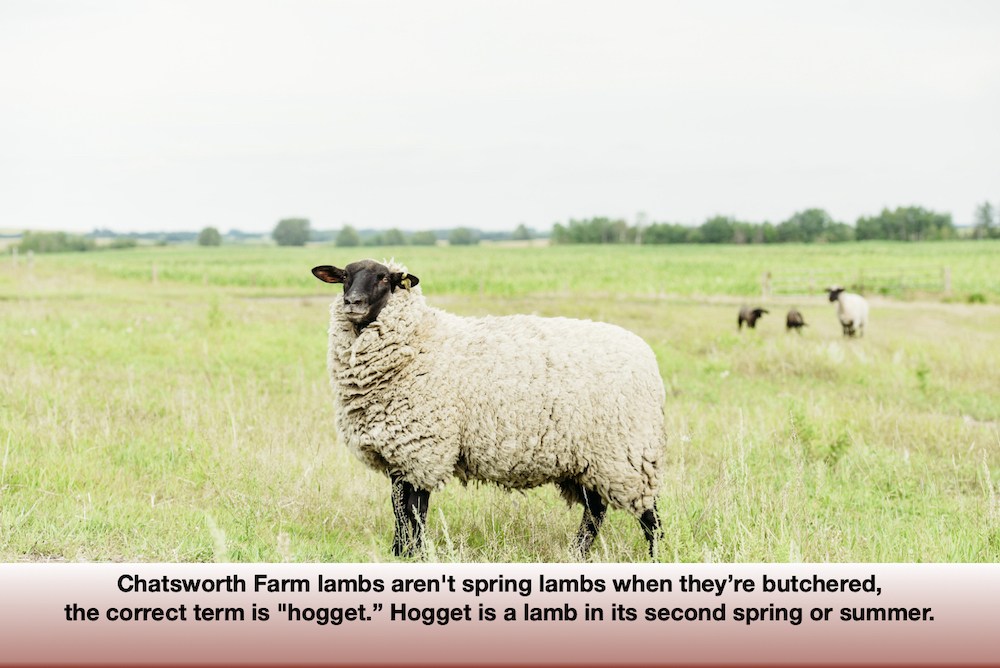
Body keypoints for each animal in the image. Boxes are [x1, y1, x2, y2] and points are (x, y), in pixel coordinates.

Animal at [311, 258, 666, 560]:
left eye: (385, 278)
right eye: (345, 276)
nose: (352, 302)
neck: (420, 341)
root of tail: (647, 355)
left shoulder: (424, 449)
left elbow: (414, 510)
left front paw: (414, 554)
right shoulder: (398, 452)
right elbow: (400, 507)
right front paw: (400, 553)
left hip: (626, 453)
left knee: (649, 515)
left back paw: (656, 556)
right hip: (589, 459)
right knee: (595, 510)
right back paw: (577, 554)